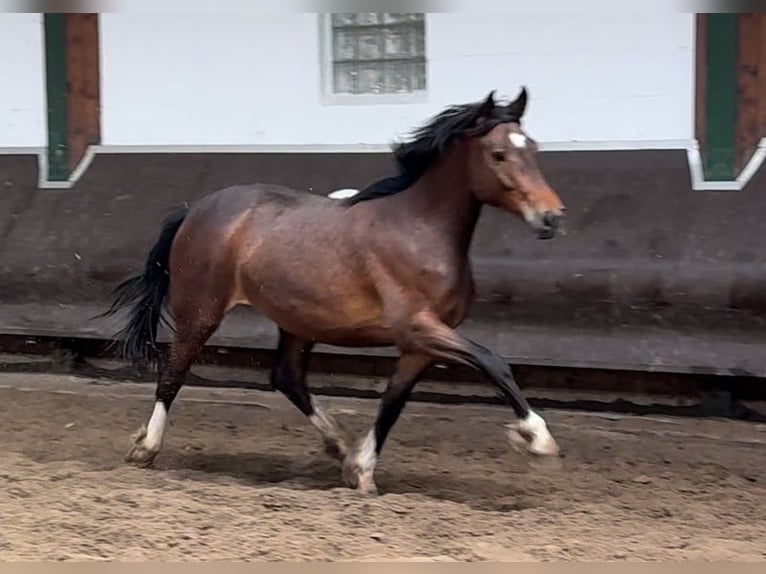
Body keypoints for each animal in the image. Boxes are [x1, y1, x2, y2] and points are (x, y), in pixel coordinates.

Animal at [102, 88, 568, 498]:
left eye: (533, 148)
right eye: (499, 154)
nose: (551, 217)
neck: (420, 230)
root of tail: (192, 210)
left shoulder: (419, 347)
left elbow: (392, 404)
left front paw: (360, 471)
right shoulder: (419, 328)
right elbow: (494, 361)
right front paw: (535, 437)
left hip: (297, 320)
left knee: (287, 377)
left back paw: (338, 447)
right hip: (201, 310)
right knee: (174, 369)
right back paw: (145, 448)